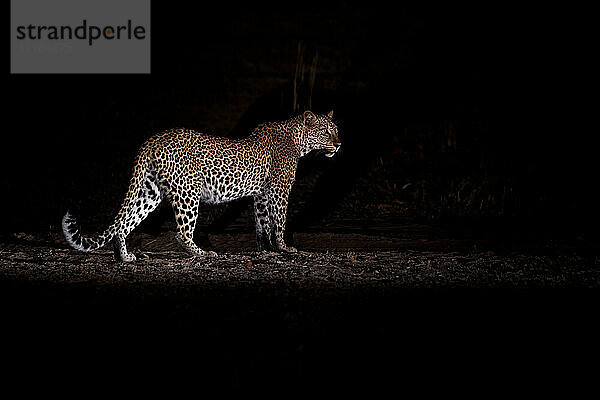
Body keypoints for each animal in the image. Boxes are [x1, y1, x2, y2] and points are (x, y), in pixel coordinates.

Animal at [63, 109, 342, 260]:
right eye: (326, 132)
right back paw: (202, 253)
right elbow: (279, 222)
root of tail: (152, 140)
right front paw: (285, 248)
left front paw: (266, 251)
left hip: (149, 191)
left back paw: (125, 258)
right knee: (181, 232)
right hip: (187, 193)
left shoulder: (261, 194)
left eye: (336, 130)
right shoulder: (279, 190)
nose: (339, 144)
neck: (298, 141)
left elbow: (262, 224)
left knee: (123, 223)